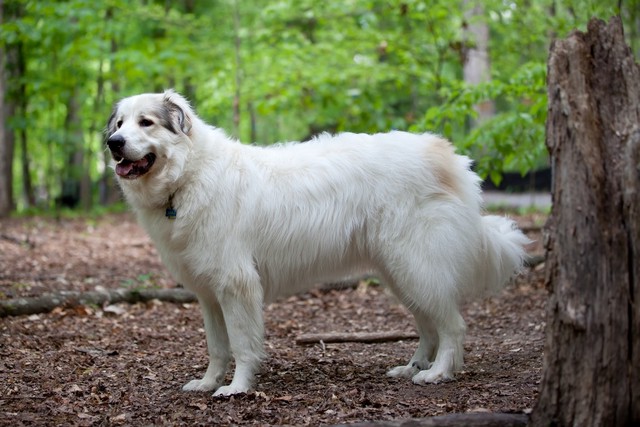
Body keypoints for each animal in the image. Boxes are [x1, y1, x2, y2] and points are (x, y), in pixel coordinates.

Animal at [106, 89, 528, 398]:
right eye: (120, 123)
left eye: (146, 122)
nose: (113, 142)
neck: (188, 176)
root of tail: (449, 157)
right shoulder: (209, 295)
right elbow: (217, 347)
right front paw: (209, 383)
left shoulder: (236, 286)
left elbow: (241, 345)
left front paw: (236, 389)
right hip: (401, 273)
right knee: (429, 326)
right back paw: (413, 367)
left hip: (416, 266)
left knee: (453, 326)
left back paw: (437, 373)